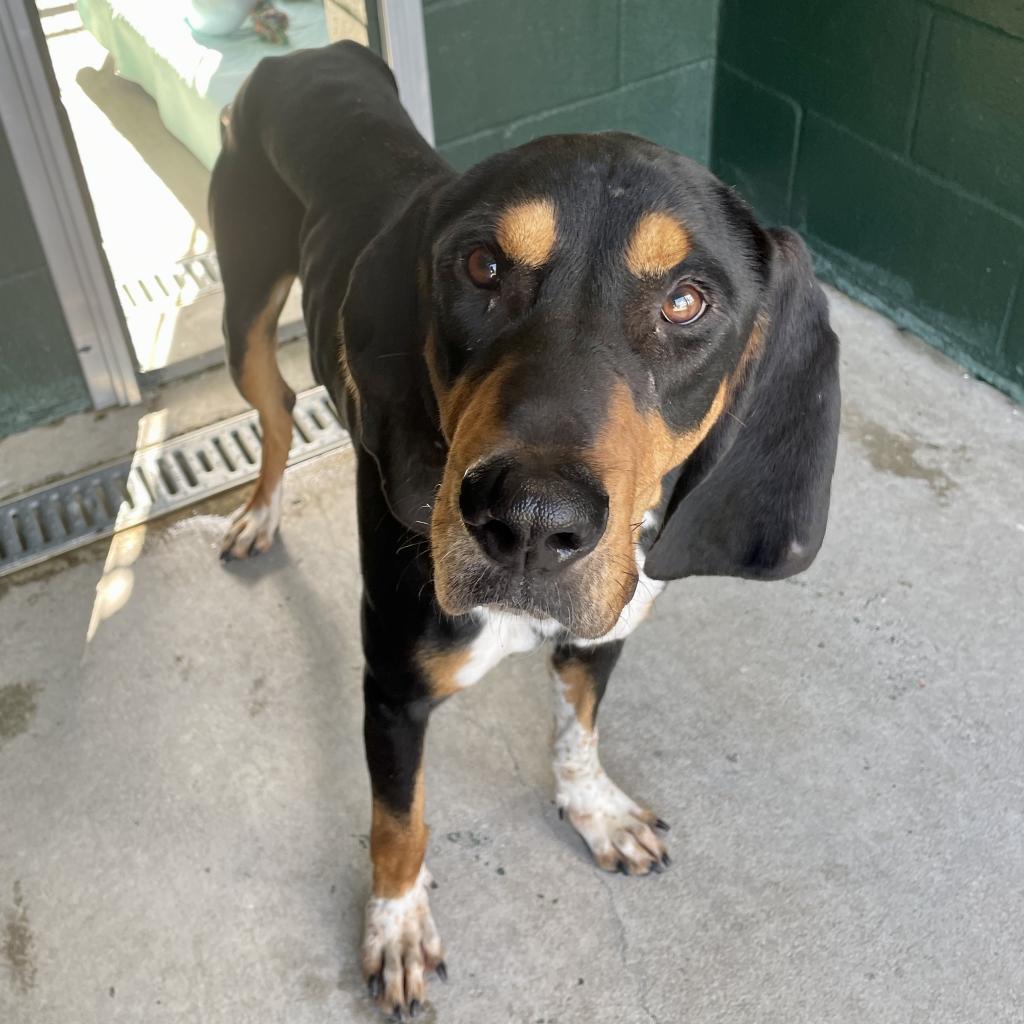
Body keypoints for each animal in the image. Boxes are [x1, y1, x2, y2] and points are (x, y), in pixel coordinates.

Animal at [207, 39, 839, 1015]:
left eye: (688, 301)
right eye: (482, 268)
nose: (530, 521)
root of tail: (302, 51)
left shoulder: (605, 631)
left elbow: (578, 731)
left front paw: (595, 811)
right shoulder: (393, 689)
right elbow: (398, 822)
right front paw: (396, 926)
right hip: (242, 309)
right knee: (273, 412)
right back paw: (262, 510)